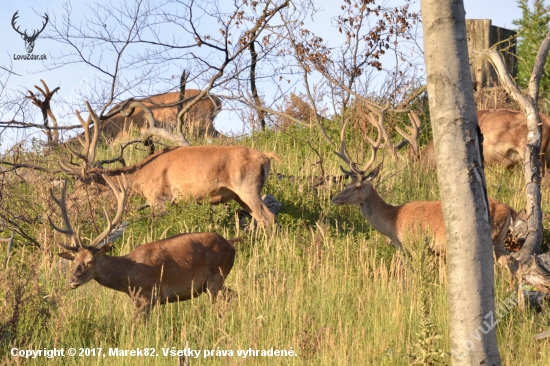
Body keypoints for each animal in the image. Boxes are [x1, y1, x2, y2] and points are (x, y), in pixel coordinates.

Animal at [50, 174, 243, 312]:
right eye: (74, 261)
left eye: (90, 261)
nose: (71, 280)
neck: (129, 277)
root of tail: (231, 243)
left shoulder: (148, 296)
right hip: (212, 284)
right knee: (234, 295)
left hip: (216, 278)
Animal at [62, 100, 282, 226]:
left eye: (83, 185)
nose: (70, 203)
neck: (140, 177)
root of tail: (266, 156)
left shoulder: (159, 199)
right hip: (238, 195)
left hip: (248, 186)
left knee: (268, 217)